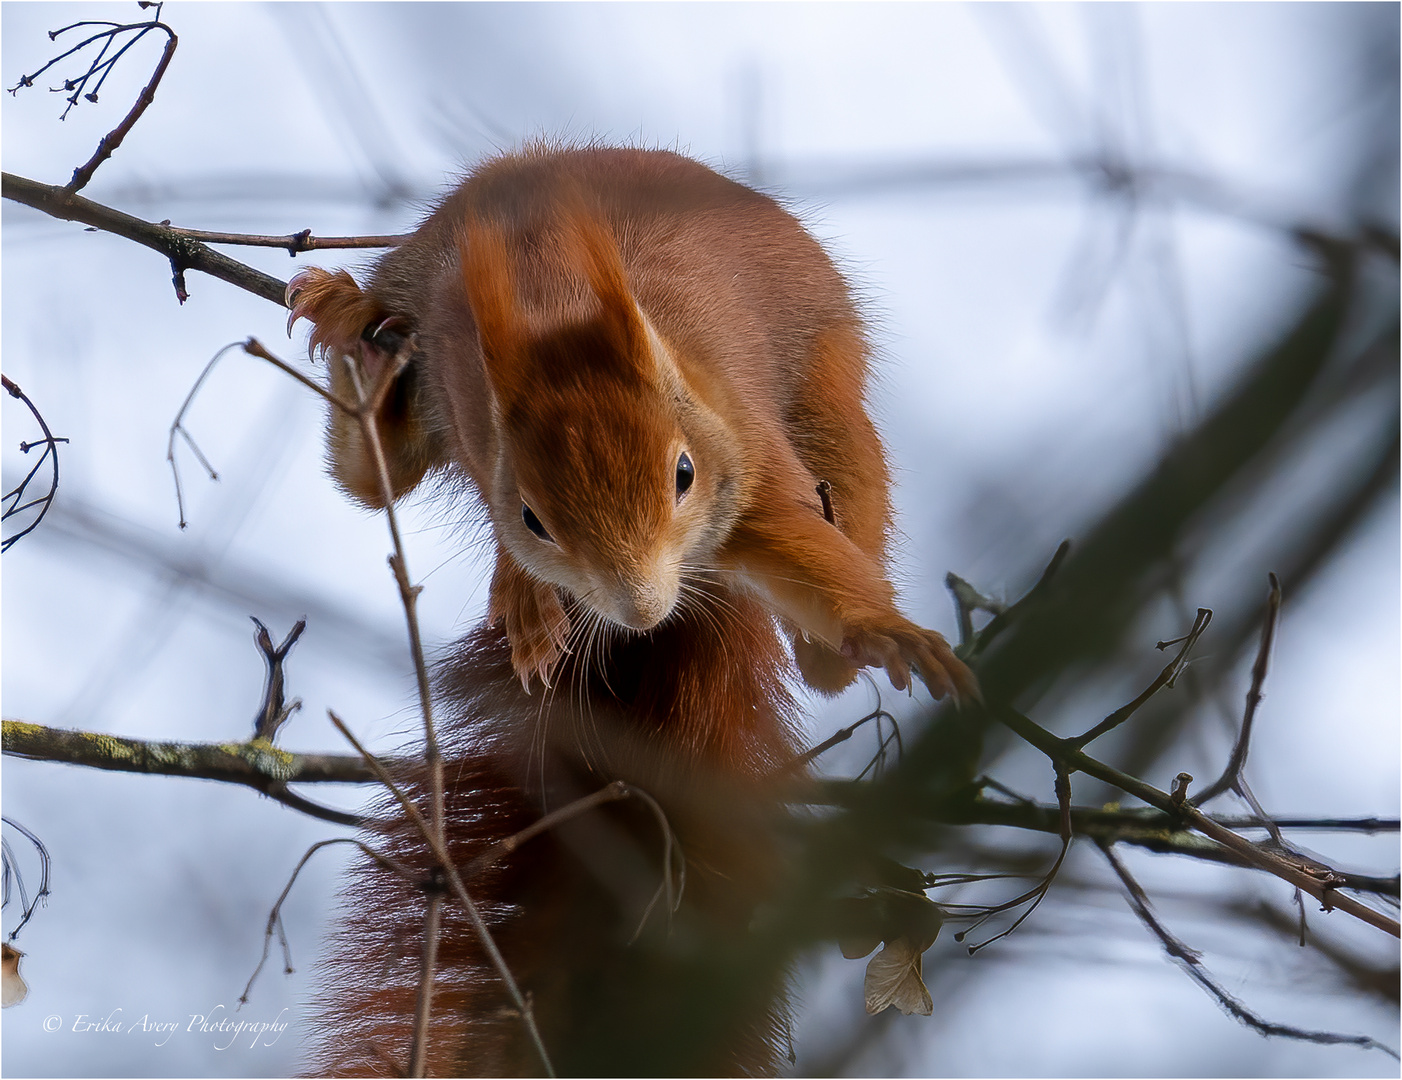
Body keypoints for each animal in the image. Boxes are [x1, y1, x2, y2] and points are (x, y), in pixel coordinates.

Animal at [287, 145, 975, 1077]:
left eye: (683, 473)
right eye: (535, 515)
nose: (639, 608)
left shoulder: (744, 461)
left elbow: (811, 554)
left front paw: (885, 630)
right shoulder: (471, 427)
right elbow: (419, 501)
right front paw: (527, 598)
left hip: (829, 393)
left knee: (847, 498)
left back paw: (827, 654)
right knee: (376, 477)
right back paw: (359, 337)